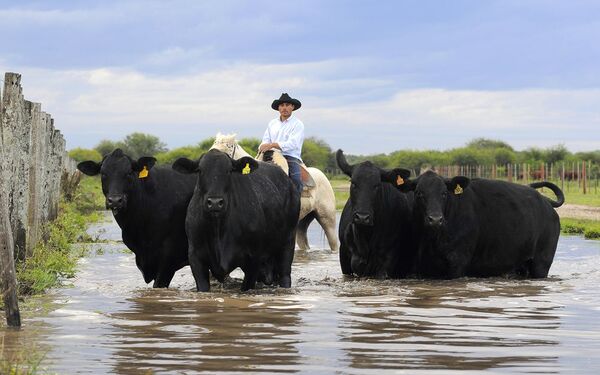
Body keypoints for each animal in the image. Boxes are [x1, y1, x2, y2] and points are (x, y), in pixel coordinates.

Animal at [173, 151, 300, 294]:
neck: (219, 230)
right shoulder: (195, 257)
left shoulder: (254, 259)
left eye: (229, 170)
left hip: (288, 243)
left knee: (285, 275)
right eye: (200, 170)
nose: (215, 202)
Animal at [400, 171, 564, 280]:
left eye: (444, 193)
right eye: (419, 193)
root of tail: (546, 201)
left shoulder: (457, 263)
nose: (435, 219)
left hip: (541, 263)